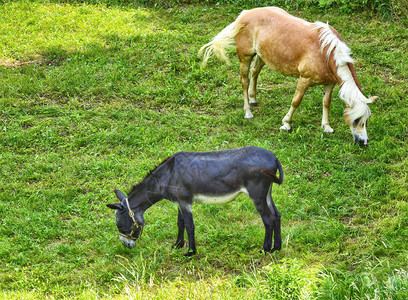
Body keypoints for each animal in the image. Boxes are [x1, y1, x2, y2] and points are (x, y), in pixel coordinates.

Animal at [107, 146, 282, 256]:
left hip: (256, 194)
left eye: (121, 226)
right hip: (267, 192)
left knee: (268, 219)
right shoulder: (179, 202)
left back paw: (265, 250)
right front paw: (177, 245)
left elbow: (190, 226)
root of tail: (274, 157)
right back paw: (277, 248)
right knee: (277, 215)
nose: (126, 246)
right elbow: (180, 223)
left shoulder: (185, 201)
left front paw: (190, 252)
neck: (167, 176)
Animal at [199, 7, 378, 146]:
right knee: (244, 81)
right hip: (245, 57)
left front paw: (326, 127)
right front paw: (286, 125)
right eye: (357, 120)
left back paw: (253, 100)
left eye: (367, 120)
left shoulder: (329, 84)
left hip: (262, 56)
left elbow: (326, 103)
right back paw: (248, 112)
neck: (326, 53)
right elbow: (296, 101)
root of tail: (245, 13)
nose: (364, 142)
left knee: (255, 72)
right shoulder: (304, 80)